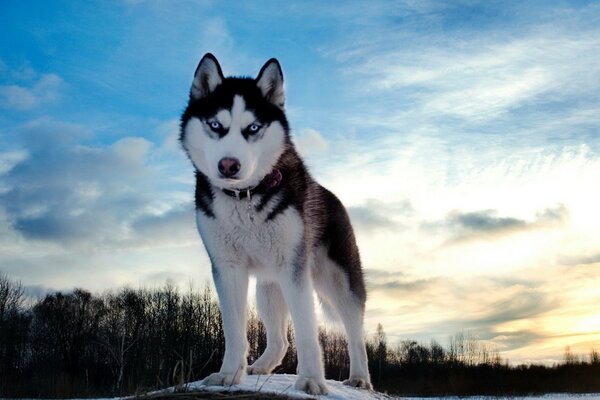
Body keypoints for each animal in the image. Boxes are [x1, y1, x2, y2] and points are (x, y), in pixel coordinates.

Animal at [180, 53, 372, 394]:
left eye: (253, 127)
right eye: (215, 125)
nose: (228, 165)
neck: (244, 197)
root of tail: (332, 196)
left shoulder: (294, 270)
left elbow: (308, 331)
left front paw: (310, 380)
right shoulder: (227, 268)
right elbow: (234, 330)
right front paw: (229, 375)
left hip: (337, 281)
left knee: (354, 331)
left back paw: (361, 377)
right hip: (268, 288)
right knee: (281, 339)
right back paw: (262, 365)